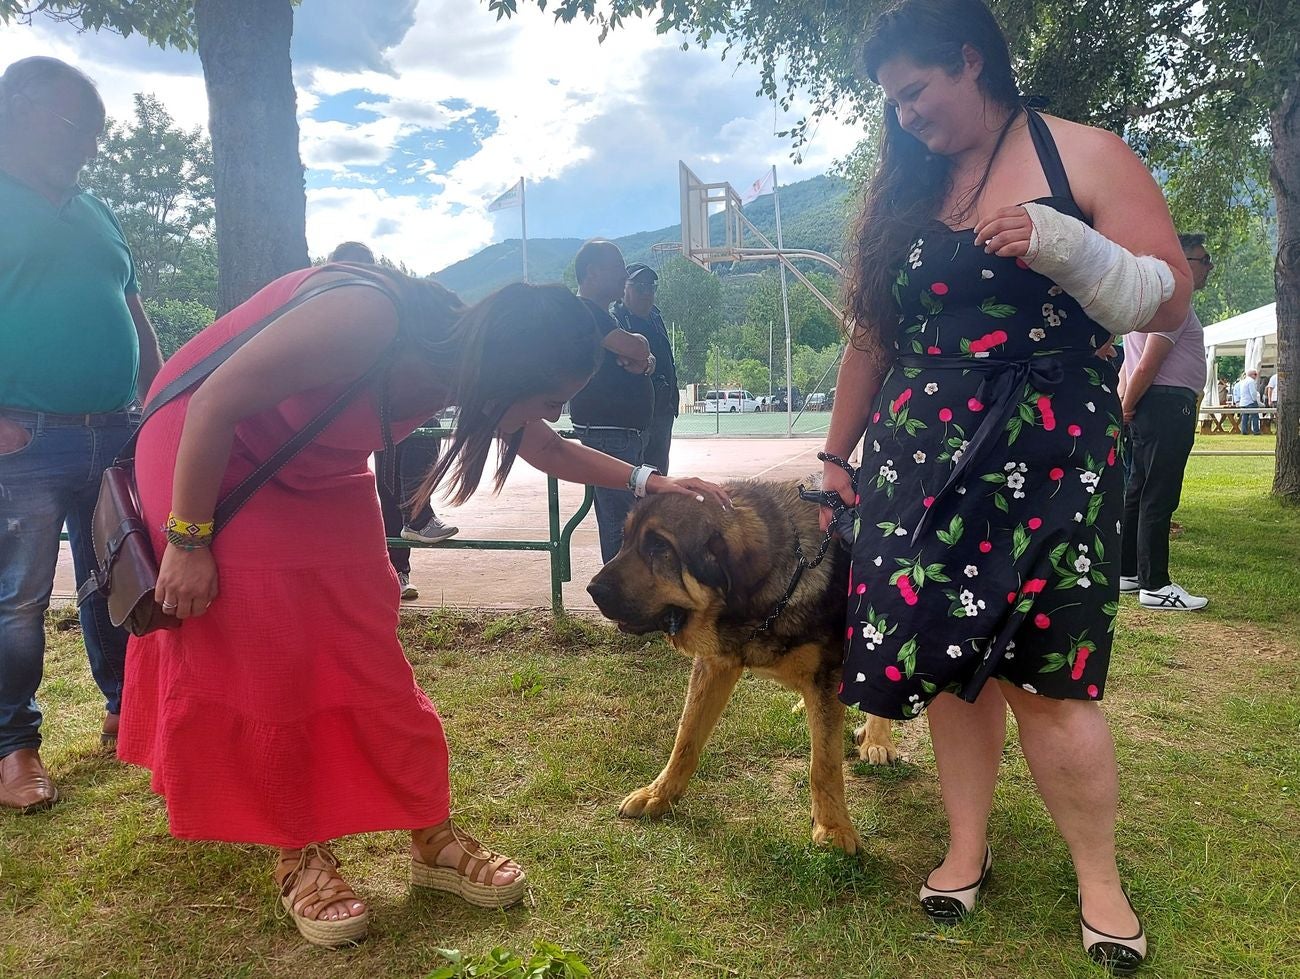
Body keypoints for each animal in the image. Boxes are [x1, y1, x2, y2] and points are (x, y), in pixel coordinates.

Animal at [587, 478, 899, 852]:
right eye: (627, 540)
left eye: (659, 546)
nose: (592, 590)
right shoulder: (714, 666)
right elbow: (686, 738)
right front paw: (659, 795)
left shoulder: (825, 676)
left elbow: (823, 764)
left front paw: (834, 826)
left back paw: (877, 740)